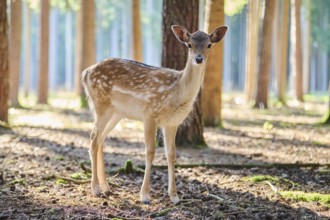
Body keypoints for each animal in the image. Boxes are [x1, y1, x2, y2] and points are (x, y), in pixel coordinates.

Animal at [81, 25, 228, 205]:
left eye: (209, 45)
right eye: (189, 45)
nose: (198, 59)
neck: (177, 92)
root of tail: (85, 73)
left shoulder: (172, 122)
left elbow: (171, 154)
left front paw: (174, 196)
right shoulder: (150, 115)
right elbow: (150, 152)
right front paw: (144, 196)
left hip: (116, 113)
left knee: (101, 139)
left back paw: (106, 187)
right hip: (100, 104)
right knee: (93, 139)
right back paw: (96, 189)